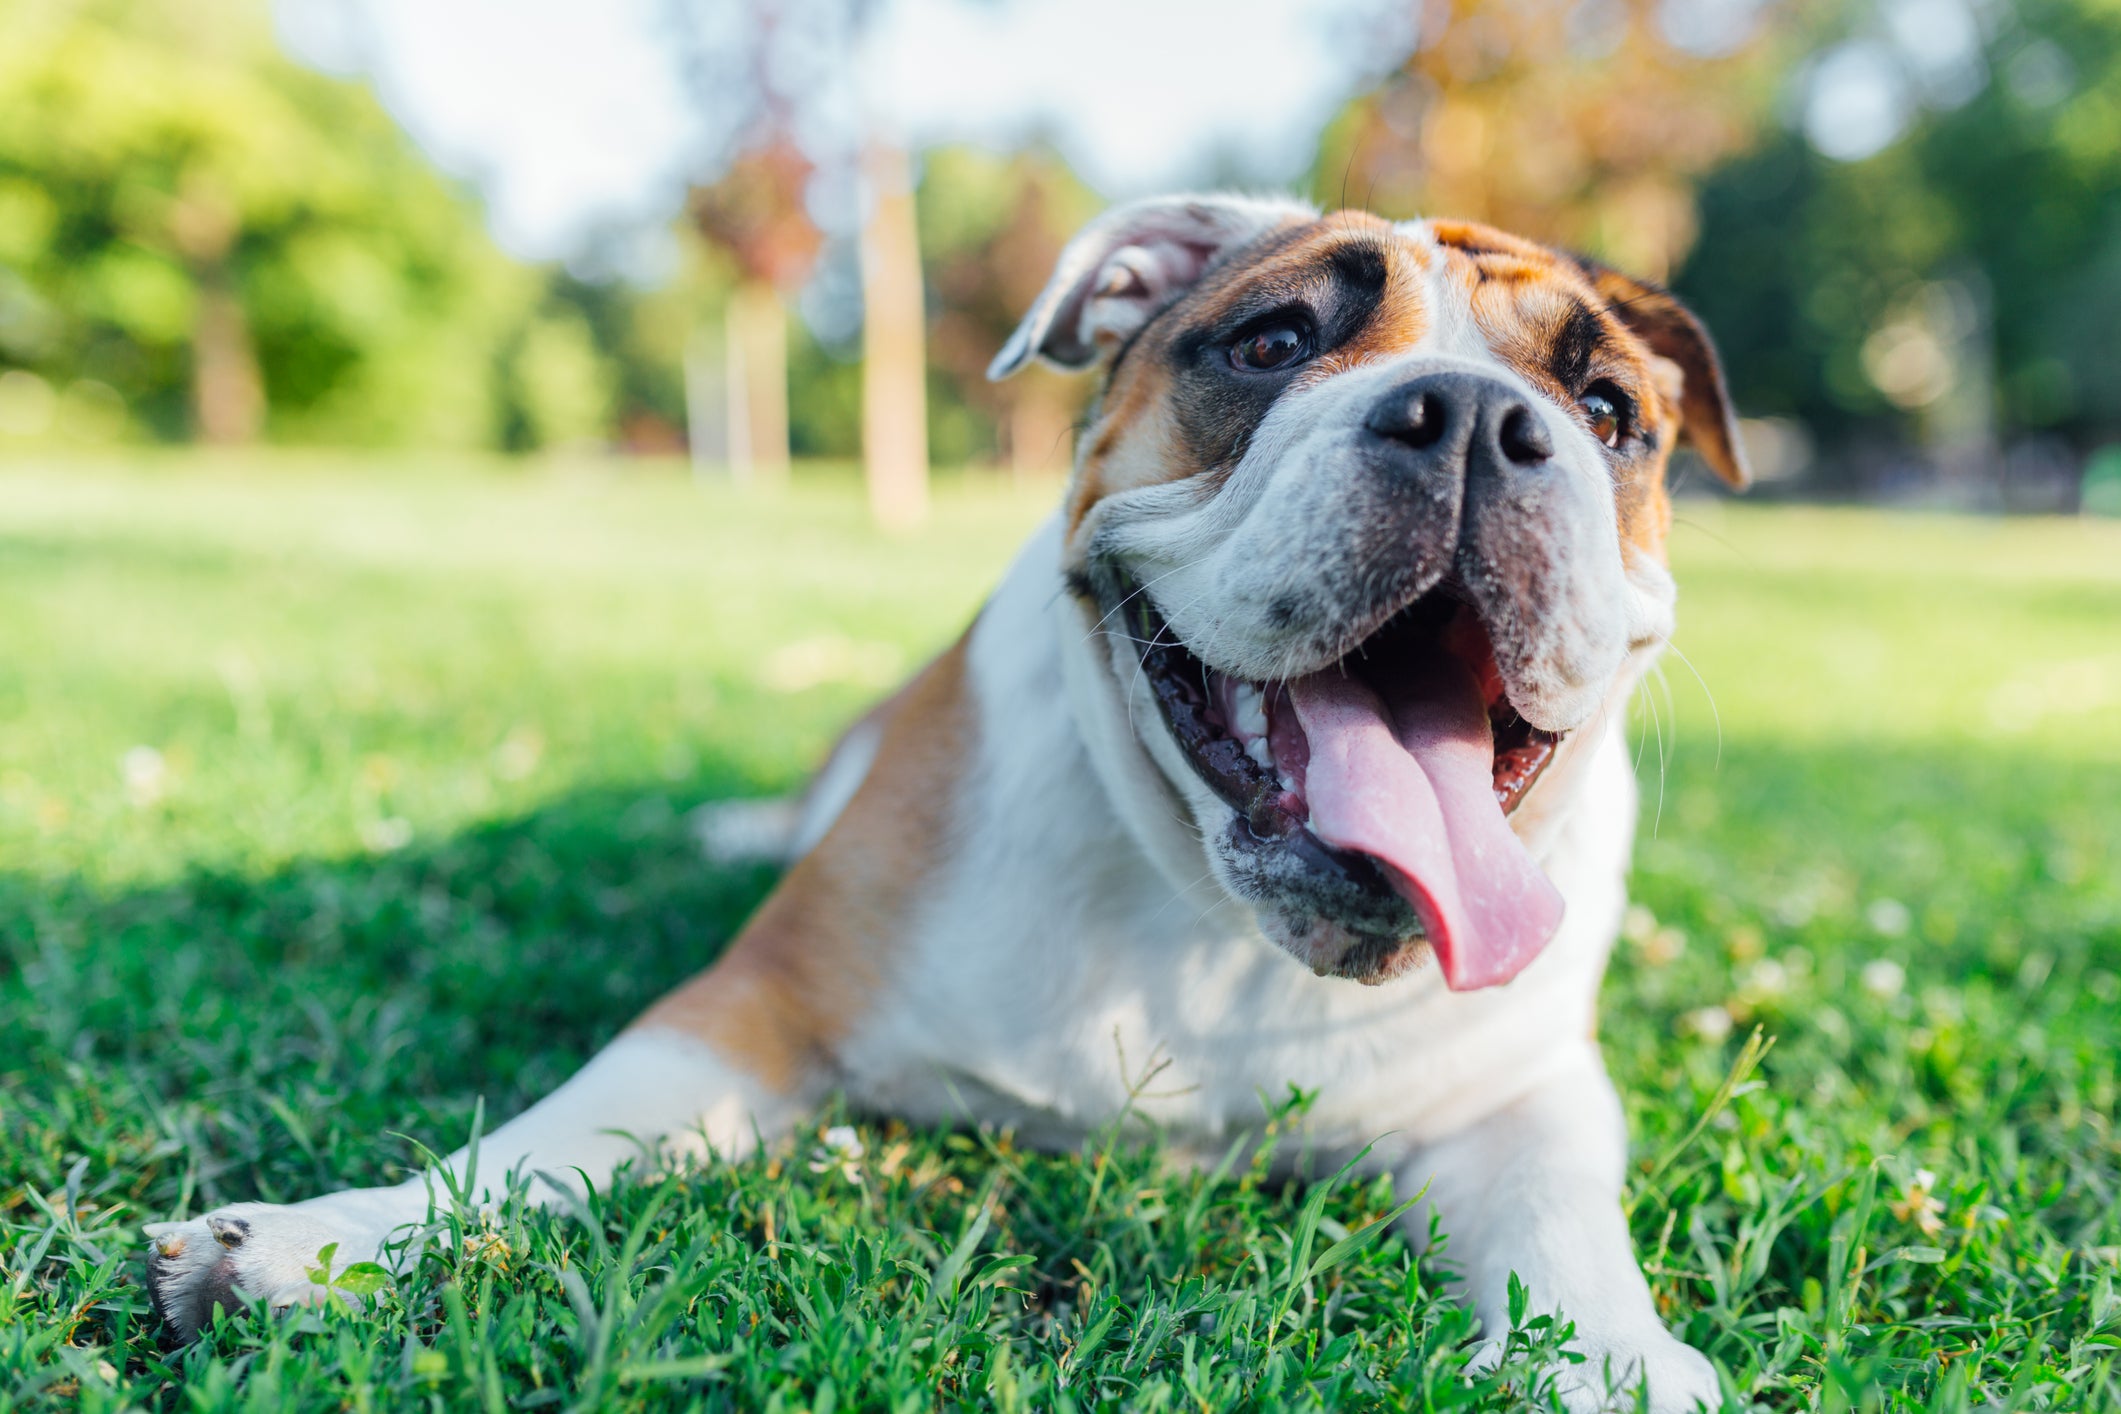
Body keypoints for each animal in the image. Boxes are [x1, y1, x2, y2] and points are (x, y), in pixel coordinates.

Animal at [145, 193, 1739, 1407]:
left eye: (1609, 412)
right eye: (1273, 341)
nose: (1471, 415)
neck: (1210, 916)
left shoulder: (1520, 1085)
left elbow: (1561, 1209)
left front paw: (1610, 1363)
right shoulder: (754, 1007)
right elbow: (548, 1140)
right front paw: (331, 1240)